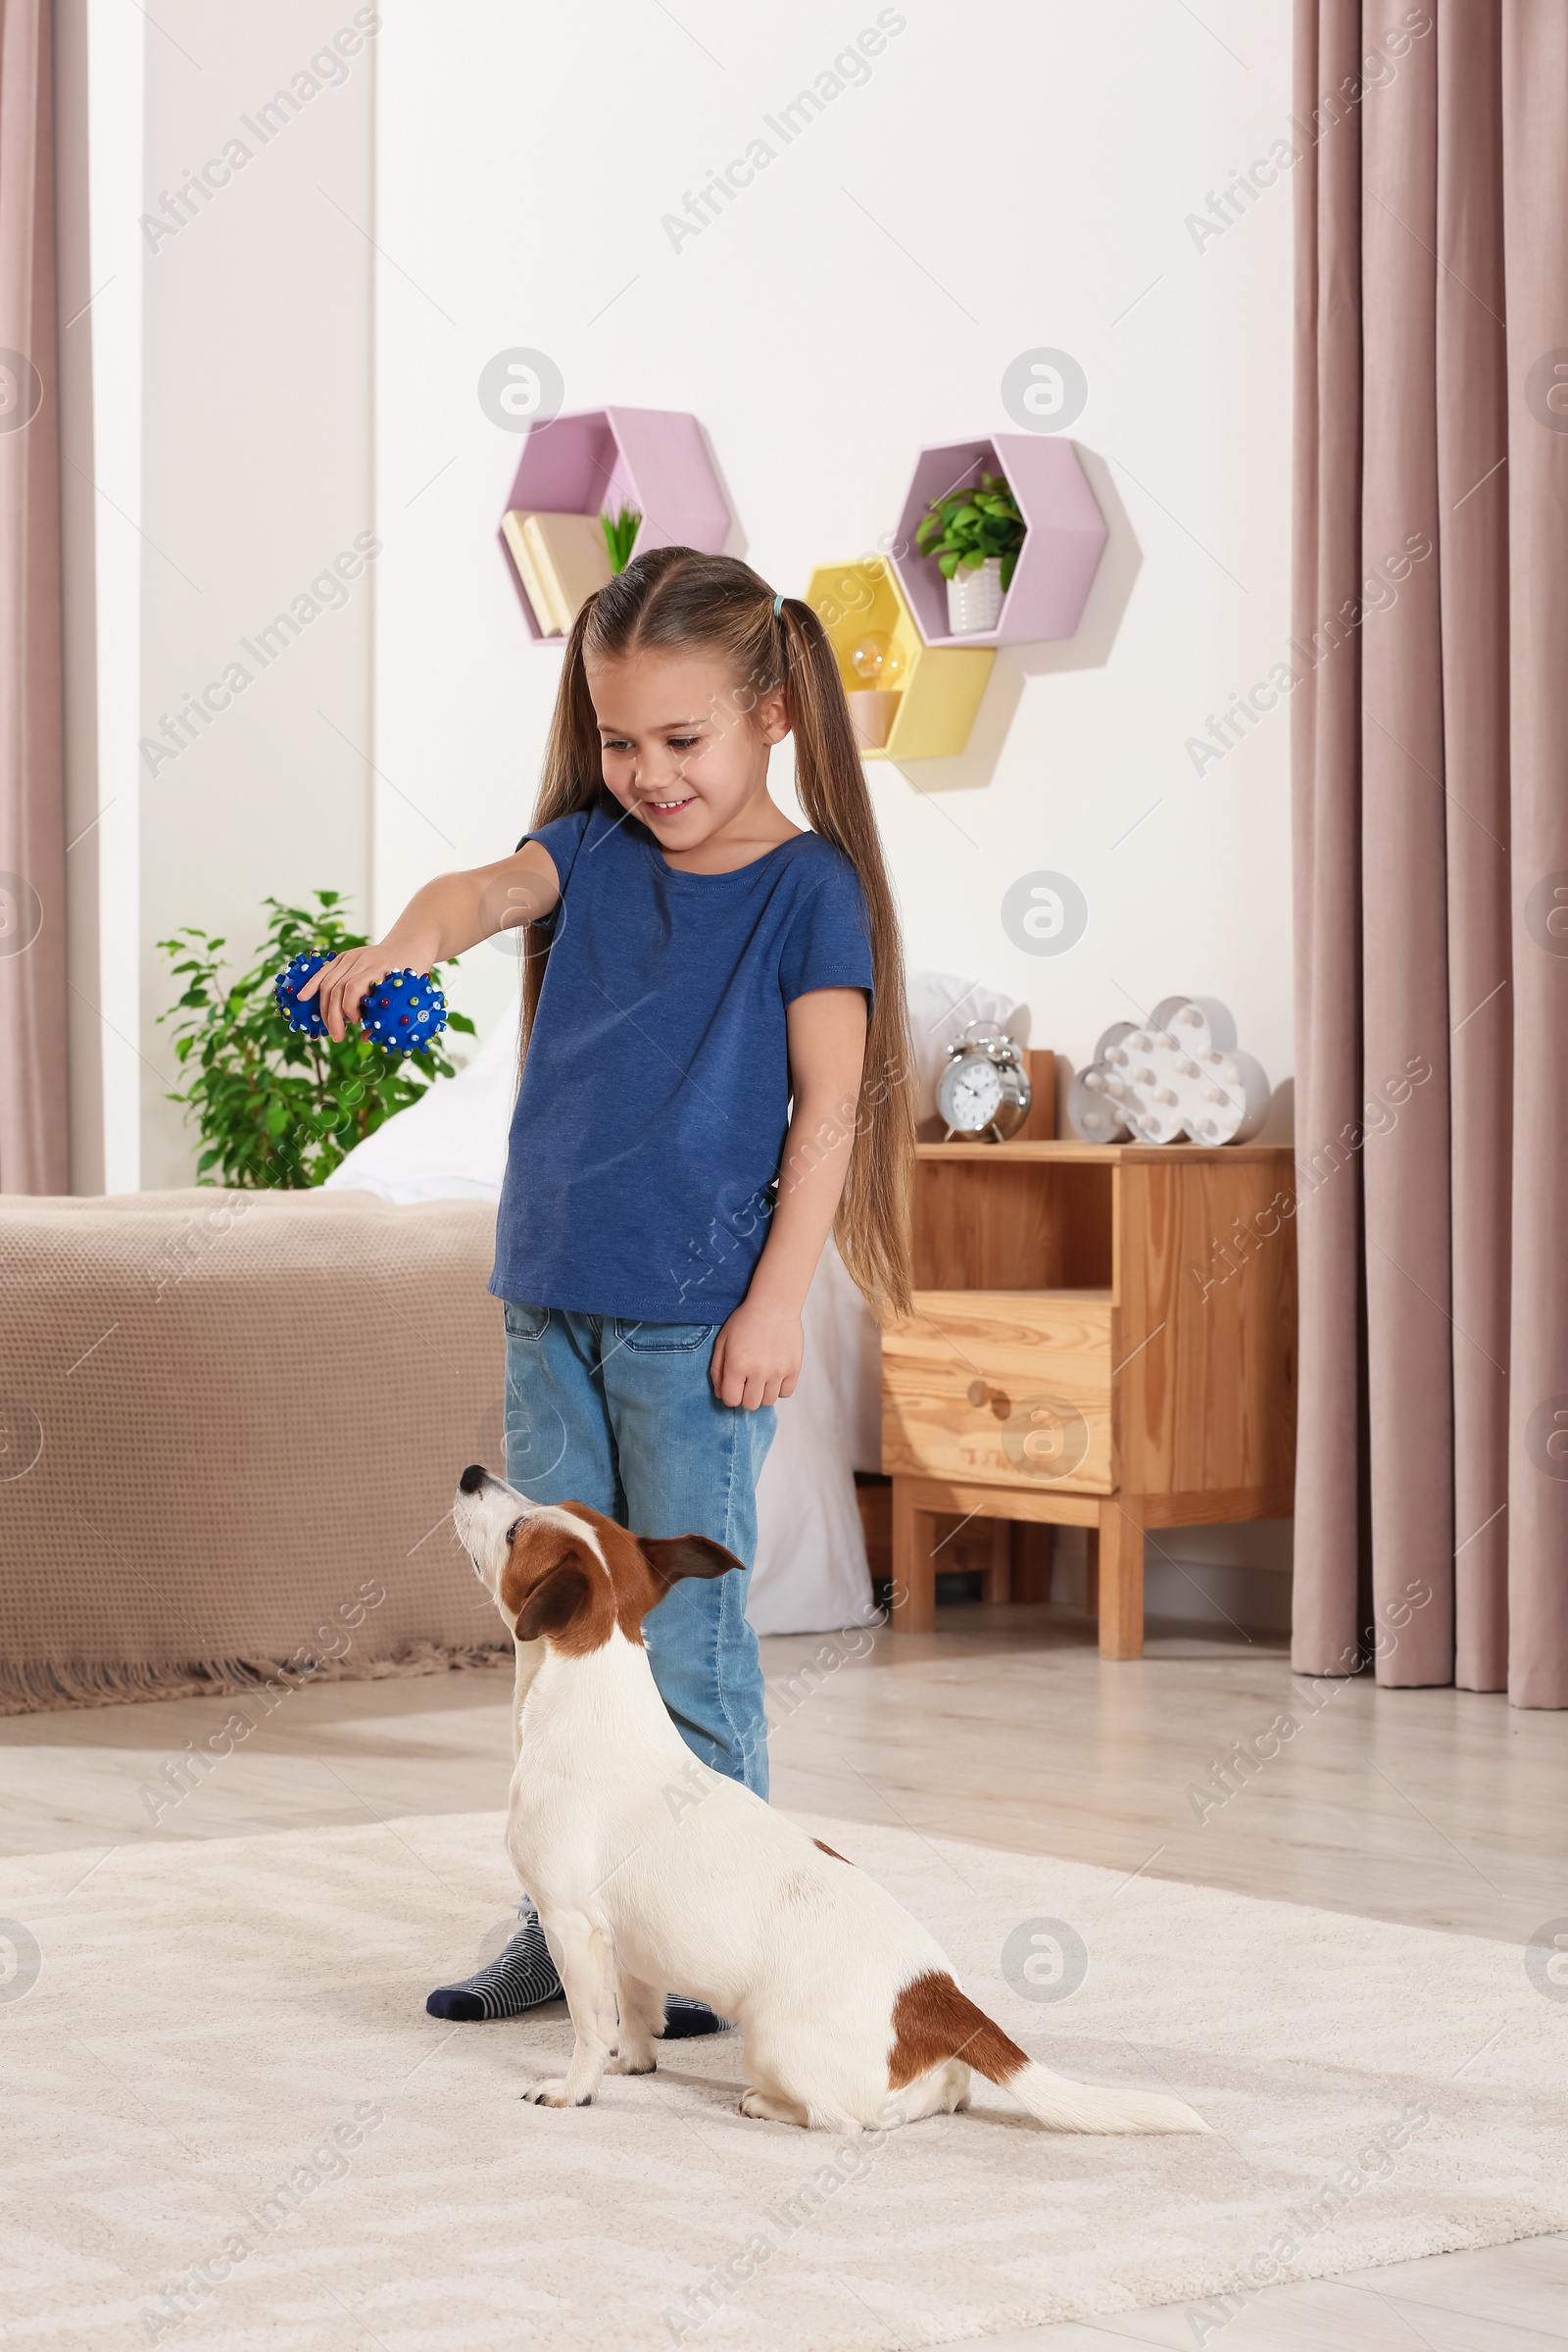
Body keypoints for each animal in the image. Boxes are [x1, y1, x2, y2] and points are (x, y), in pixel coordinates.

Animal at [453, 1458, 1212, 2144]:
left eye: (517, 1529)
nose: (471, 1473)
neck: (592, 1696)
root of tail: (943, 1999)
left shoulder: (571, 1924)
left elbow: (589, 2027)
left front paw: (575, 2089)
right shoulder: (630, 1943)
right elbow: (638, 2014)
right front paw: (632, 2062)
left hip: (771, 2040)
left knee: (851, 2119)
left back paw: (765, 2104)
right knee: (942, 2093)